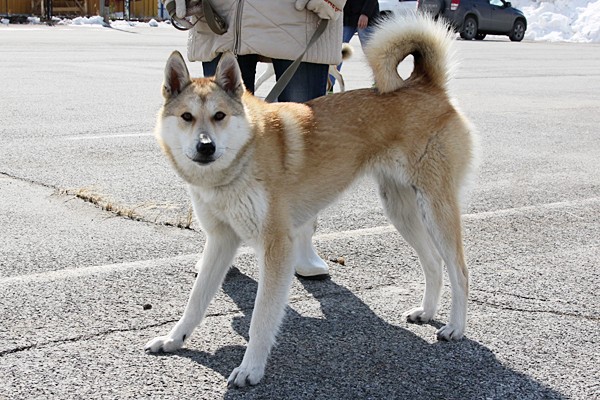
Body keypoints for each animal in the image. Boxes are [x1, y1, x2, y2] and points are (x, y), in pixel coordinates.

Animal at [146, 14, 477, 388]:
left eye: (220, 116)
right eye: (187, 117)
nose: (205, 146)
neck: (241, 161)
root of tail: (425, 84)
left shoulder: (276, 246)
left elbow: (261, 318)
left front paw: (251, 368)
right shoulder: (220, 241)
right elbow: (195, 301)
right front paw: (174, 339)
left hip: (436, 209)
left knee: (459, 270)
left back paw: (455, 327)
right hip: (400, 210)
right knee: (433, 263)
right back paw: (427, 312)